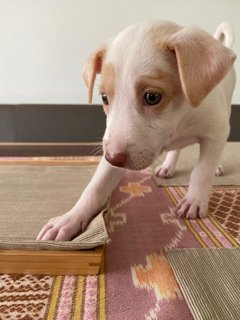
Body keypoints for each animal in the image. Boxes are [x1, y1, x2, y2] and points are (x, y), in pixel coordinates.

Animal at [37, 20, 236, 240]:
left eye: (152, 97)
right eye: (104, 98)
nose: (112, 157)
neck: (180, 119)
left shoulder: (216, 131)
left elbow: (202, 171)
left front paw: (194, 199)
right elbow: (96, 187)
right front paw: (69, 219)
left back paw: (215, 167)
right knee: (176, 149)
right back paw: (168, 165)